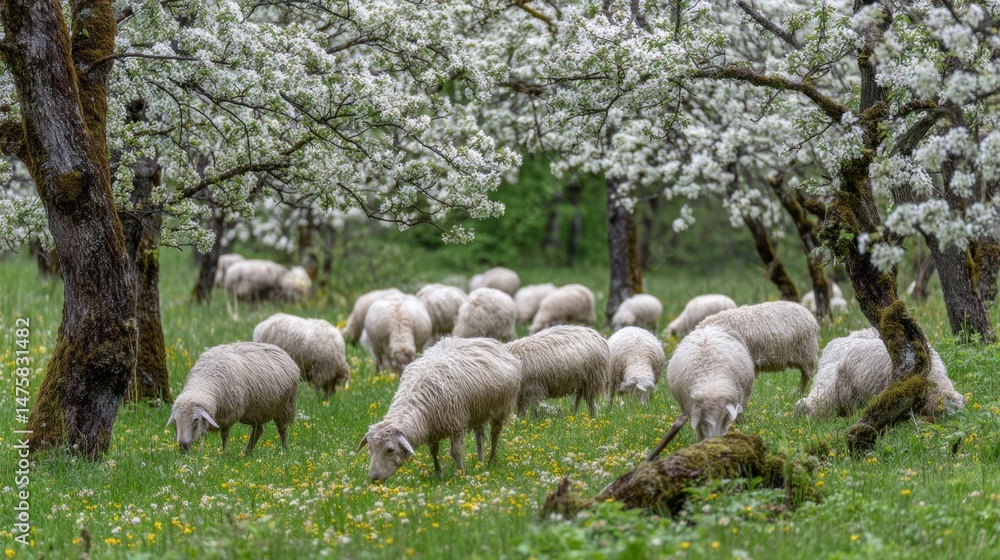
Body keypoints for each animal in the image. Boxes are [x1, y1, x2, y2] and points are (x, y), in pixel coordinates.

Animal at [167, 342, 299, 455]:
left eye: (195, 420)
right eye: (176, 420)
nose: (182, 446)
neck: (205, 379)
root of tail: (279, 349)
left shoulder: (228, 415)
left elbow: (224, 435)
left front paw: (224, 453)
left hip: (285, 406)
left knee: (283, 429)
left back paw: (284, 450)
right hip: (256, 411)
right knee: (258, 429)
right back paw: (246, 452)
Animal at [359, 337, 522, 482]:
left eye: (390, 450)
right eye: (370, 449)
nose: (374, 479)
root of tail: (490, 341)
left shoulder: (456, 424)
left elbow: (456, 452)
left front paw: (460, 473)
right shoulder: (432, 429)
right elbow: (433, 452)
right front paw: (439, 474)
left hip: (502, 407)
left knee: (495, 434)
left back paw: (490, 461)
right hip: (479, 411)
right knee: (480, 437)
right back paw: (480, 462)